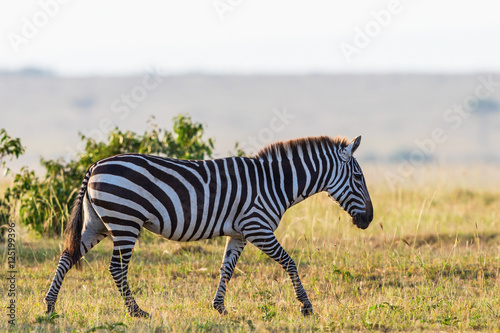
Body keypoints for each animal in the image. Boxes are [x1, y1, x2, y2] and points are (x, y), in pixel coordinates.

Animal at [44, 135, 372, 316]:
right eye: (358, 178)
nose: (368, 220)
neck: (274, 183)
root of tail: (95, 165)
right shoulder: (258, 228)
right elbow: (289, 262)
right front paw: (306, 307)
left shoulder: (240, 233)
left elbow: (226, 269)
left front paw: (220, 308)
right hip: (125, 222)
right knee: (116, 268)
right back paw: (136, 312)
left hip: (97, 223)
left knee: (67, 256)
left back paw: (49, 306)